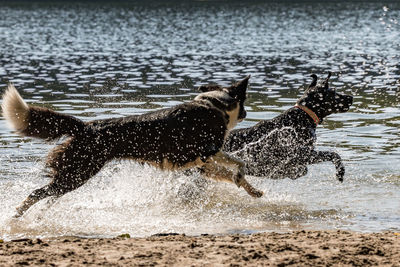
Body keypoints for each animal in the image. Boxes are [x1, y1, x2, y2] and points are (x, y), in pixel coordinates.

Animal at [3, 76, 266, 219]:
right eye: (244, 103)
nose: (246, 114)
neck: (214, 105)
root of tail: (86, 126)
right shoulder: (206, 151)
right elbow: (240, 162)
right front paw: (242, 175)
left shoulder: (201, 164)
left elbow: (232, 175)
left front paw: (252, 190)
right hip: (78, 171)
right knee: (36, 193)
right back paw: (14, 216)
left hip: (74, 174)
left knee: (49, 196)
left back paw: (38, 216)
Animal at [225, 73, 354, 182]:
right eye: (334, 91)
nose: (350, 97)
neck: (304, 116)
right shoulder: (302, 153)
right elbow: (333, 155)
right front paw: (340, 172)